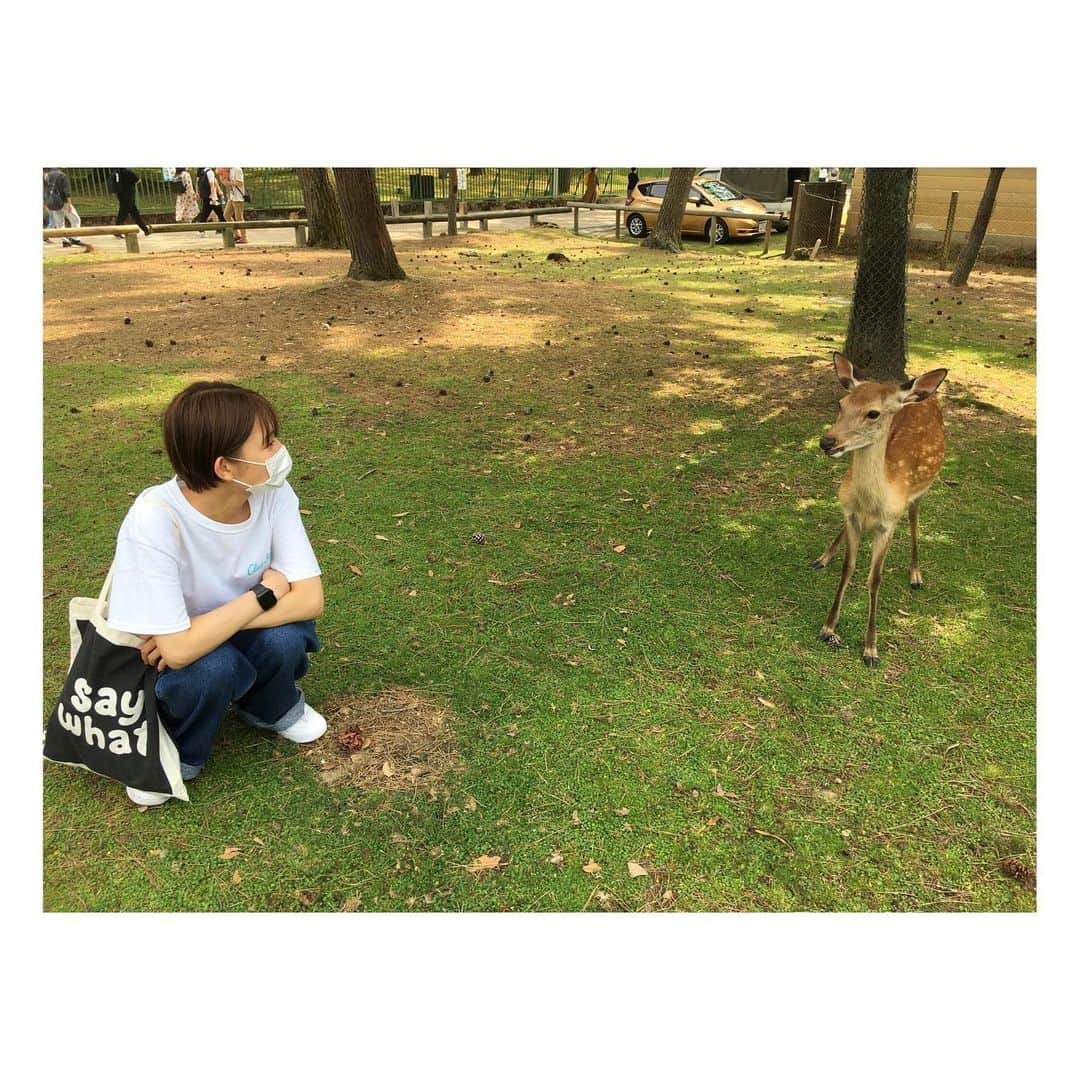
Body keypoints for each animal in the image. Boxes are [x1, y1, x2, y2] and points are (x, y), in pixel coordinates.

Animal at [813, 352, 949, 668]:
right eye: (841, 404)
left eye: (873, 413)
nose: (827, 441)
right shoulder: (850, 514)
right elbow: (848, 568)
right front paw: (828, 627)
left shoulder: (888, 524)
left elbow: (874, 580)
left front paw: (871, 649)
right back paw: (824, 557)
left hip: (922, 490)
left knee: (914, 518)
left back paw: (915, 575)